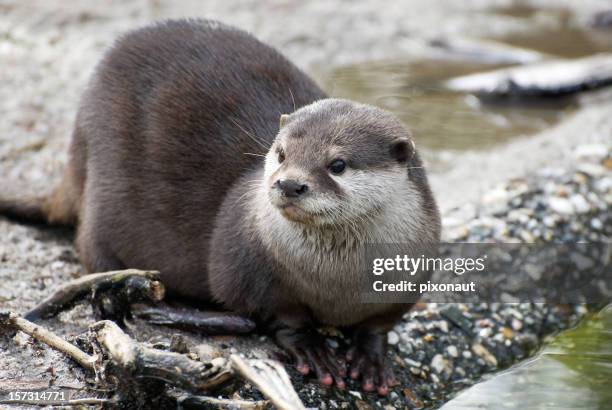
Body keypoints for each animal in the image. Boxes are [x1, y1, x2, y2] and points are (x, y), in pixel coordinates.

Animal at [1, 18, 440, 394]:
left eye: (338, 164)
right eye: (281, 153)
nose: (288, 184)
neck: (336, 282)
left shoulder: (410, 275)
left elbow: (380, 324)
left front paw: (370, 355)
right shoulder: (248, 263)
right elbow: (278, 316)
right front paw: (311, 346)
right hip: (101, 195)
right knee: (96, 254)